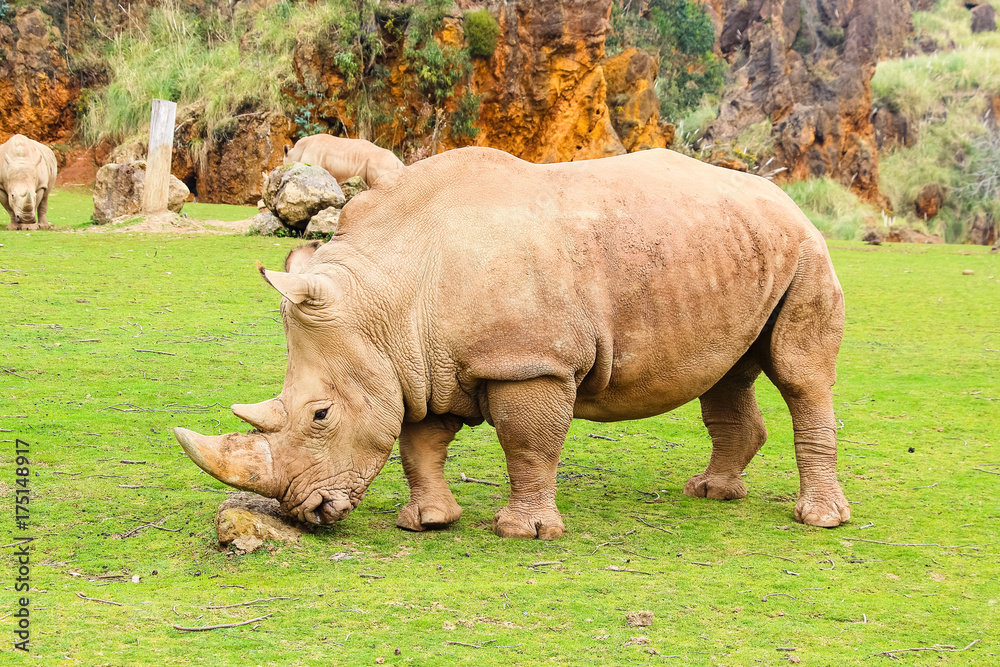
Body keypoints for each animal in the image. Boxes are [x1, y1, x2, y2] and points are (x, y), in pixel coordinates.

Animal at [175, 146, 851, 539]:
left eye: (320, 415)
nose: (306, 513)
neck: (387, 299)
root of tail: (786, 198)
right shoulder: (427, 365)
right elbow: (420, 444)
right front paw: (427, 523)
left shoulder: (530, 363)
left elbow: (528, 445)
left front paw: (521, 532)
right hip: (736, 251)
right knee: (728, 373)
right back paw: (710, 493)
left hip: (807, 250)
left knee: (800, 375)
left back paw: (818, 520)